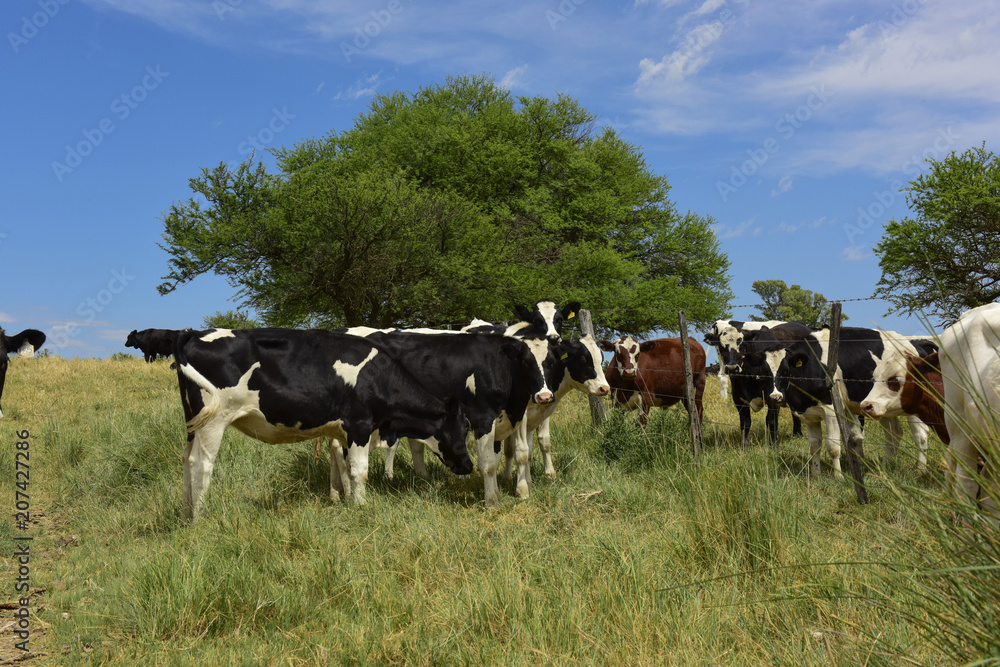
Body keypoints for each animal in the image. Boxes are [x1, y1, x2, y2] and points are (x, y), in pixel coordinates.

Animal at [174, 328, 470, 520]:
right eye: (464, 429)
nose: (468, 466)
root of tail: (194, 334)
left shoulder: (343, 431)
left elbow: (345, 467)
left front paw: (348, 501)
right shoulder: (359, 425)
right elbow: (360, 470)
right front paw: (361, 507)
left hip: (193, 422)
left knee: (186, 459)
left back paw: (186, 514)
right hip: (213, 421)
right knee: (202, 464)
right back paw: (200, 518)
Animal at [708, 320, 808, 448]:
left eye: (742, 344)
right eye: (721, 346)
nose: (732, 368)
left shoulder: (774, 394)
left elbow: (771, 420)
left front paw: (773, 445)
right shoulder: (738, 396)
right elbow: (745, 422)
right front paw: (744, 446)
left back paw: (798, 433)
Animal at [764, 326, 936, 478]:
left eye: (786, 371)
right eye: (765, 372)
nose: (775, 397)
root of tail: (915, 344)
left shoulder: (831, 410)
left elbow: (833, 446)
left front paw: (838, 476)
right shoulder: (809, 416)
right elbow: (815, 447)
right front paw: (816, 475)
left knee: (920, 435)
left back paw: (921, 471)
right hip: (883, 406)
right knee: (894, 434)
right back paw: (885, 468)